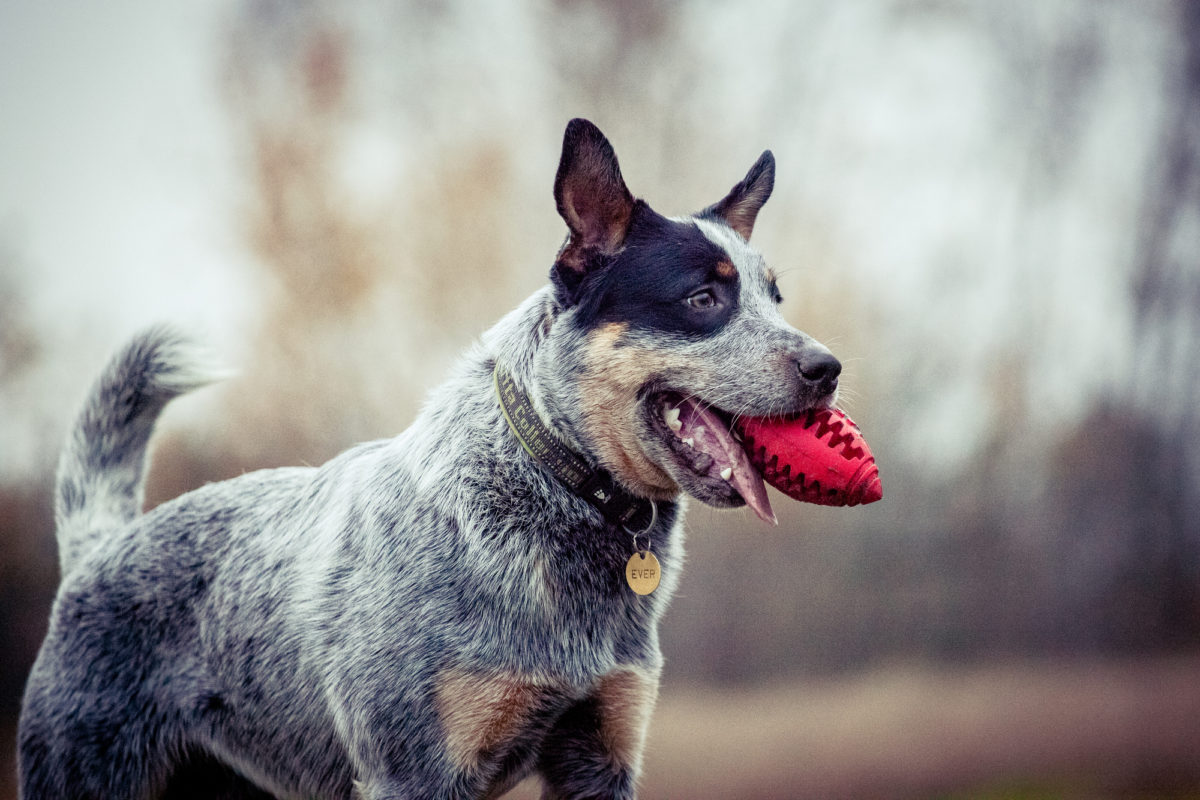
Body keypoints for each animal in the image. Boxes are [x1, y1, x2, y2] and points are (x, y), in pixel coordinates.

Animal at [18, 118, 844, 800]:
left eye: (774, 298)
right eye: (703, 298)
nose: (828, 367)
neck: (555, 490)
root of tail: (100, 550)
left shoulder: (602, 752)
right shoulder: (413, 770)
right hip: (83, 770)